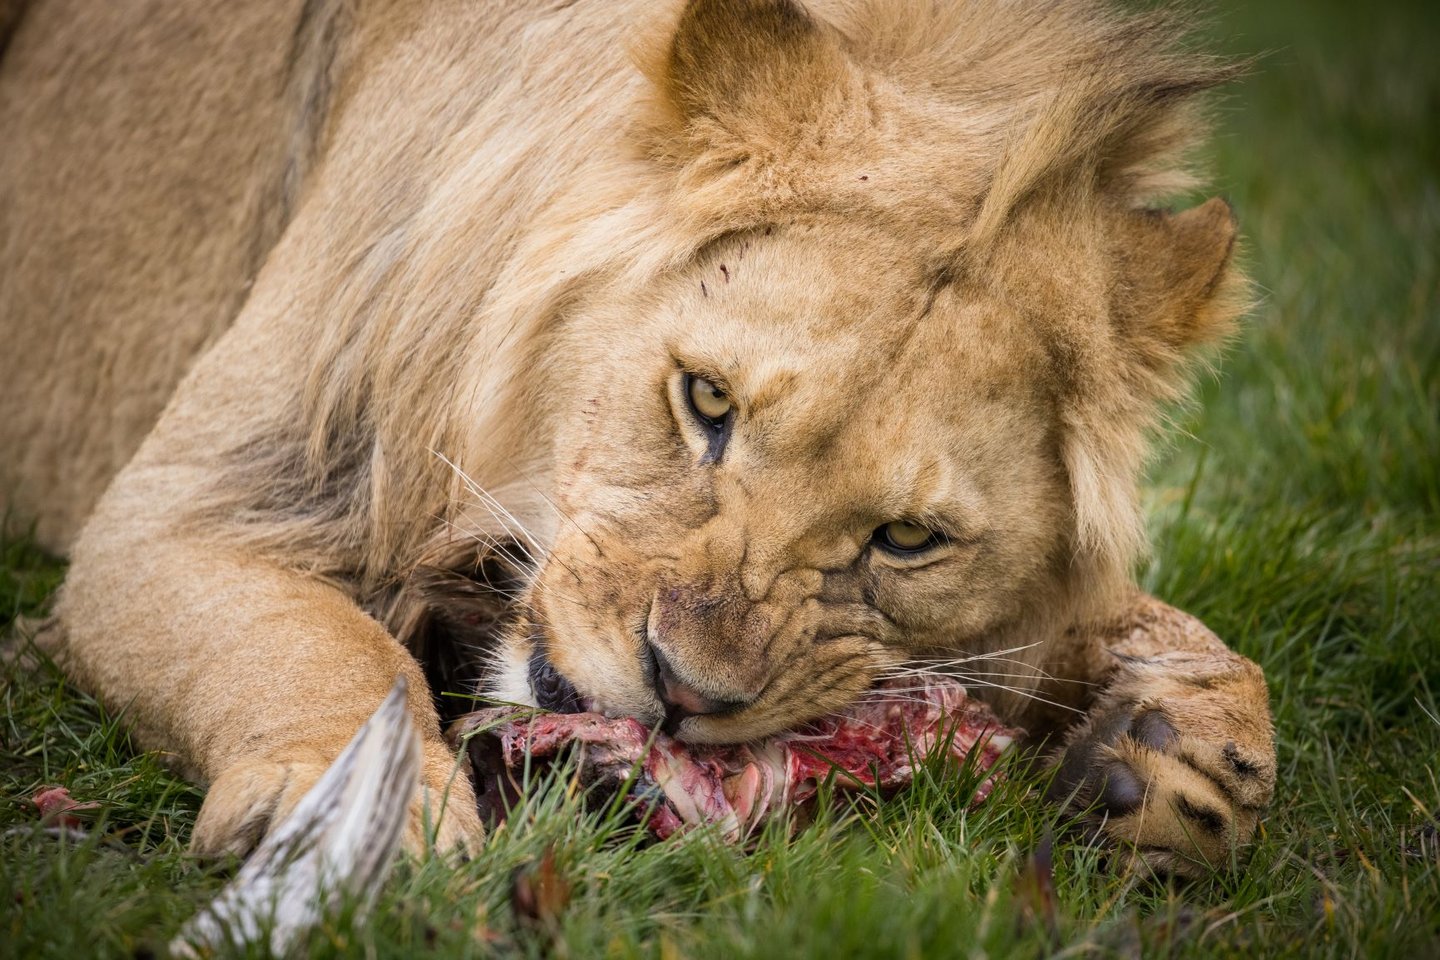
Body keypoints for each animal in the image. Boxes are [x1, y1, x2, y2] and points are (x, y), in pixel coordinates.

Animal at [0, 0, 1274, 877]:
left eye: (908, 538)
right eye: (705, 401)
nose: (678, 693)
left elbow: (1159, 634)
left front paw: (1187, 756)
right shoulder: (200, 499)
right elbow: (324, 651)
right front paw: (368, 825)